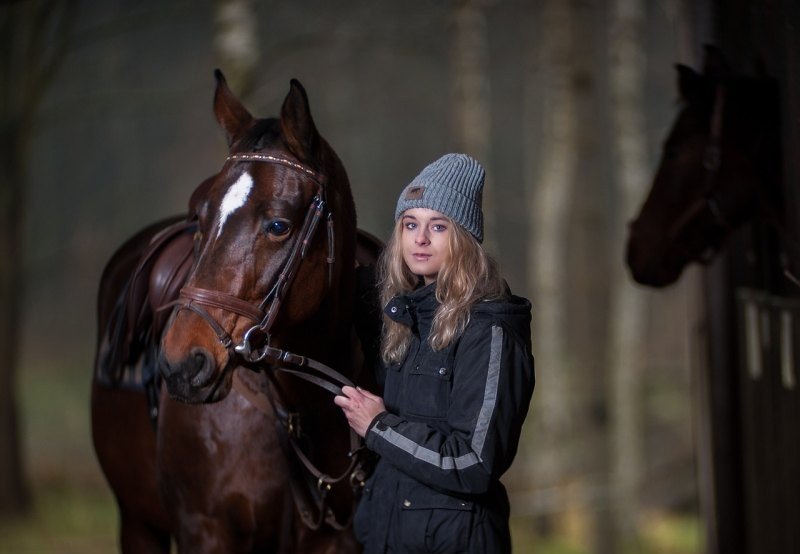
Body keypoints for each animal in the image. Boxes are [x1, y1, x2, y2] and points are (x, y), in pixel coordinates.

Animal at [92, 71, 380, 548]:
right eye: (202, 219)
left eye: (279, 225)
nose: (182, 363)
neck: (300, 411)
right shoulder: (204, 531)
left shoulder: (337, 541)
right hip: (138, 523)